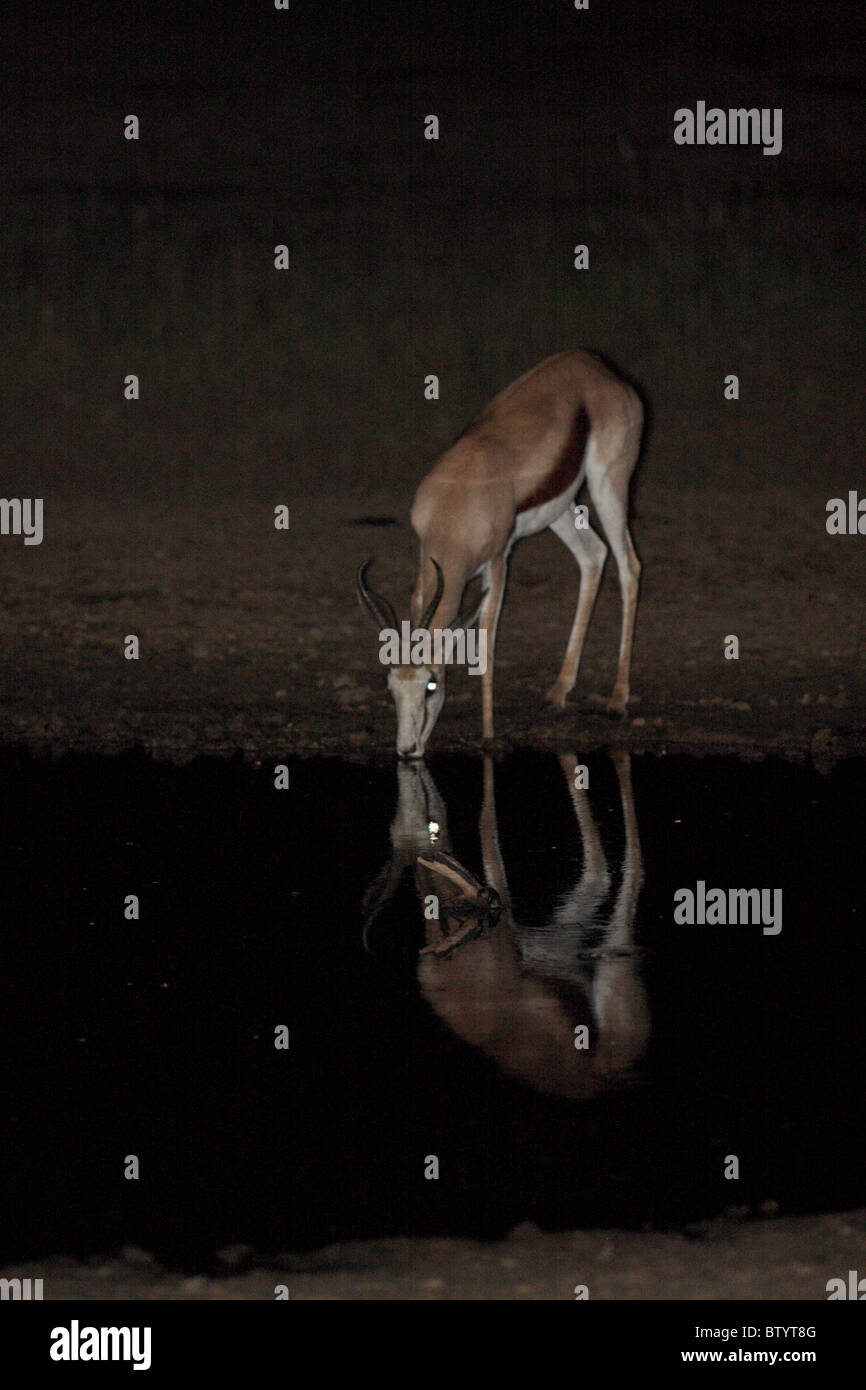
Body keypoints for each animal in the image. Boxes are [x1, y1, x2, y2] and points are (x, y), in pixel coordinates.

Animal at [354, 350, 644, 761]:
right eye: (391, 686)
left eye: (430, 684)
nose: (407, 750)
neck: (455, 508)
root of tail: (597, 368)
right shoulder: (428, 563)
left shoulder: (498, 561)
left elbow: (487, 642)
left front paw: (488, 734)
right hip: (561, 509)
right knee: (593, 556)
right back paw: (557, 694)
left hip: (608, 487)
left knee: (628, 566)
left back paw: (617, 701)